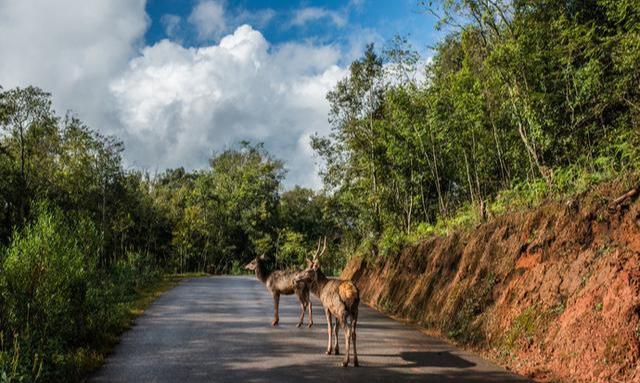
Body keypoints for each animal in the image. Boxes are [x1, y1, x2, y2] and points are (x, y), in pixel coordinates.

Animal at [296, 238, 360, 368]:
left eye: (308, 270)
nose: (297, 277)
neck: (321, 290)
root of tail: (353, 292)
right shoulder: (334, 311)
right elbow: (336, 329)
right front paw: (337, 350)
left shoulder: (327, 307)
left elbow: (330, 329)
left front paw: (329, 350)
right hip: (354, 311)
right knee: (354, 333)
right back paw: (356, 361)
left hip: (342, 310)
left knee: (348, 332)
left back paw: (345, 361)